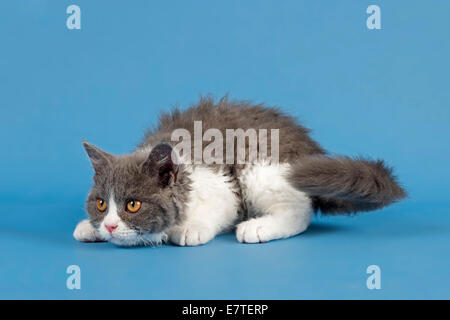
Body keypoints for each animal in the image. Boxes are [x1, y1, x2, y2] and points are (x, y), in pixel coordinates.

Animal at [72, 96, 406, 246]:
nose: (110, 226)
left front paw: (189, 229)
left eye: (132, 205)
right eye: (100, 203)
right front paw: (89, 227)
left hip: (260, 166)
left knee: (299, 211)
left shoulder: (221, 181)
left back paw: (258, 227)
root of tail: (309, 149)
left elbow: (222, 207)